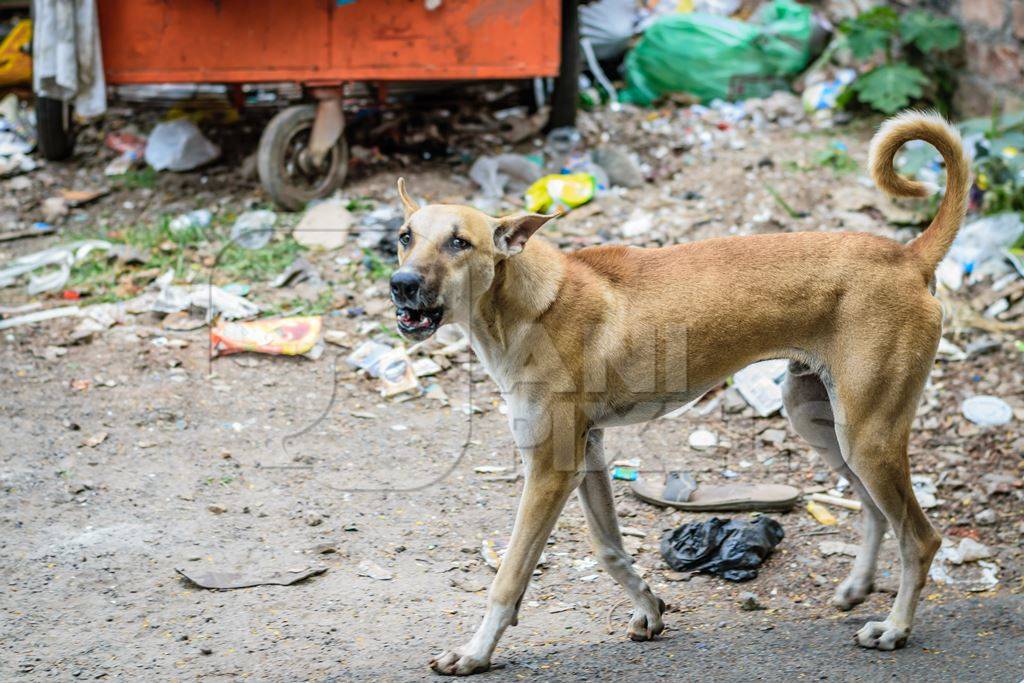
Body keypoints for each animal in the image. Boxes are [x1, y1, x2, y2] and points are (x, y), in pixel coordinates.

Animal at [389, 109, 966, 675]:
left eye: (459, 242)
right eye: (404, 237)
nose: (400, 284)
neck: (527, 306)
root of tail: (909, 257)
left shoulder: (551, 467)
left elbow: (509, 577)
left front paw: (474, 652)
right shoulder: (588, 455)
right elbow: (610, 549)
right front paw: (649, 607)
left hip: (868, 437)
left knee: (921, 538)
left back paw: (894, 628)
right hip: (823, 423)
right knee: (876, 511)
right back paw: (857, 587)